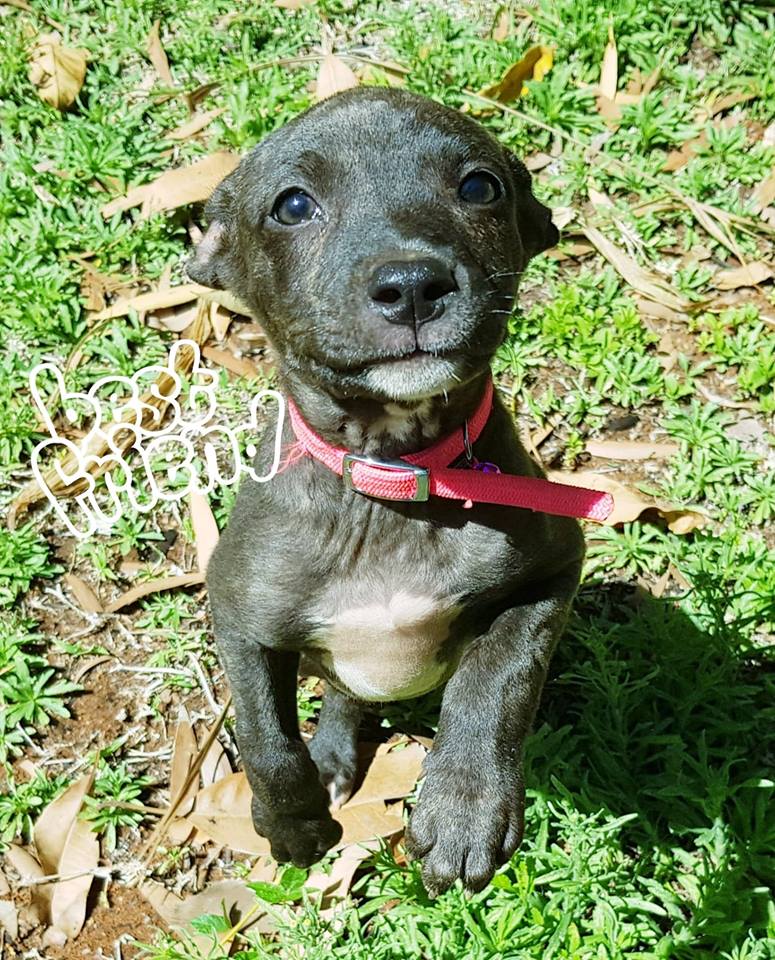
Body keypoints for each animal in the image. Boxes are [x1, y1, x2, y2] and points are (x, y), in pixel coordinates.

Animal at [187, 87, 586, 897]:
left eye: (479, 188)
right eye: (292, 205)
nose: (410, 286)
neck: (391, 476)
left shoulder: (553, 568)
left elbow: (498, 678)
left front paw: (464, 807)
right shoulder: (239, 614)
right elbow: (263, 736)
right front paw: (293, 825)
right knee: (341, 697)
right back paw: (334, 758)